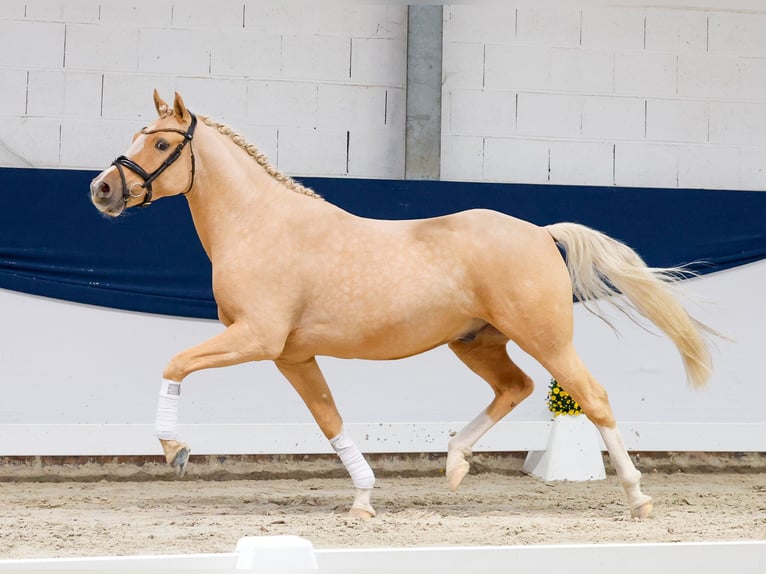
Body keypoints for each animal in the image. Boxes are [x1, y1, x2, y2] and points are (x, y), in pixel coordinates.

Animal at [90, 91, 715, 520]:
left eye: (162, 143)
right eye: (139, 134)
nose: (102, 190)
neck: (262, 226)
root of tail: (540, 233)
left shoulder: (256, 338)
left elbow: (175, 364)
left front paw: (175, 450)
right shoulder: (291, 355)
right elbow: (329, 419)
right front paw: (364, 500)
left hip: (546, 338)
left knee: (592, 397)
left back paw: (638, 499)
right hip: (476, 342)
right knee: (515, 387)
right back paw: (455, 463)